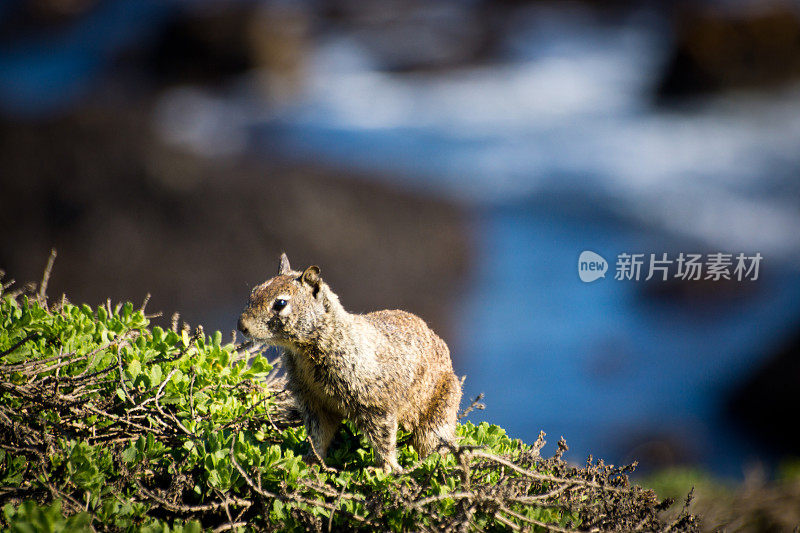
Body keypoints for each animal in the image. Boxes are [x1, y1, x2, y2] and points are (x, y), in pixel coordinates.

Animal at [236, 254, 462, 470]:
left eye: (280, 303)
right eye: (253, 292)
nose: (241, 325)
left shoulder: (375, 404)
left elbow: (383, 439)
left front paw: (386, 468)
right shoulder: (313, 402)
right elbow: (318, 435)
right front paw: (311, 459)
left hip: (436, 420)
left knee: (434, 445)